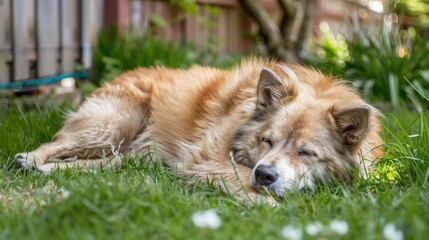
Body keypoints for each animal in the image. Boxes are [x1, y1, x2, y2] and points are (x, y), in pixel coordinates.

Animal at [14, 58, 382, 202]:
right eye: (267, 141)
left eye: (306, 153)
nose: (265, 174)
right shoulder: (207, 161)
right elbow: (251, 187)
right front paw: (263, 203)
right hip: (111, 126)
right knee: (56, 143)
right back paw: (29, 160)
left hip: (130, 156)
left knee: (92, 164)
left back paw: (51, 171)